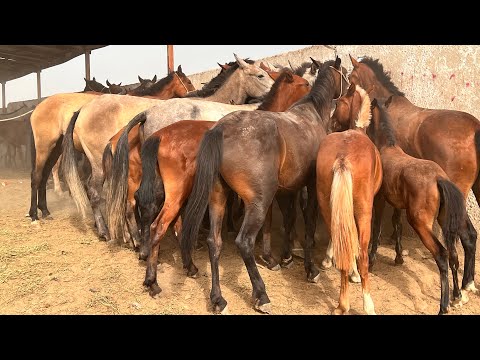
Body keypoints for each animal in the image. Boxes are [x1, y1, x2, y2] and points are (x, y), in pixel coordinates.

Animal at [178, 57, 346, 314]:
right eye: (345, 73)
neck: (312, 115)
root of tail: (221, 130)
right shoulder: (309, 187)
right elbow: (307, 227)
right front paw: (310, 270)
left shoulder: (288, 190)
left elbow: (289, 220)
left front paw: (287, 257)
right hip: (258, 202)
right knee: (244, 242)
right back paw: (261, 294)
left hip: (218, 198)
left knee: (214, 243)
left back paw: (218, 299)